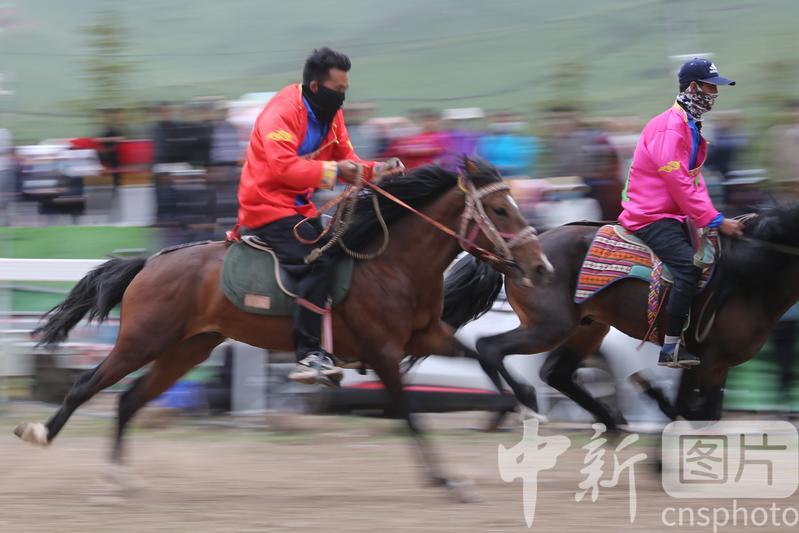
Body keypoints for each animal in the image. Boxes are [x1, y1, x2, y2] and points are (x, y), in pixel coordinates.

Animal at [12, 159, 552, 498]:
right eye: (500, 210)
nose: (541, 266)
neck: (391, 262)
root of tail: (149, 263)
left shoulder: (426, 338)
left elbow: (486, 358)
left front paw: (525, 411)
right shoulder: (382, 352)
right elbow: (410, 414)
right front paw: (447, 481)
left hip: (185, 350)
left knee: (127, 401)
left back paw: (121, 477)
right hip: (143, 341)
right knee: (87, 385)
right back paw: (42, 433)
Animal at [444, 205, 799, 428]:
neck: (747, 275)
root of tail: (517, 256)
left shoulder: (718, 365)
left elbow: (707, 413)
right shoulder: (703, 357)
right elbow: (691, 409)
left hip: (588, 328)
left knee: (557, 374)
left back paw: (609, 419)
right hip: (550, 326)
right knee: (491, 348)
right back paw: (527, 404)